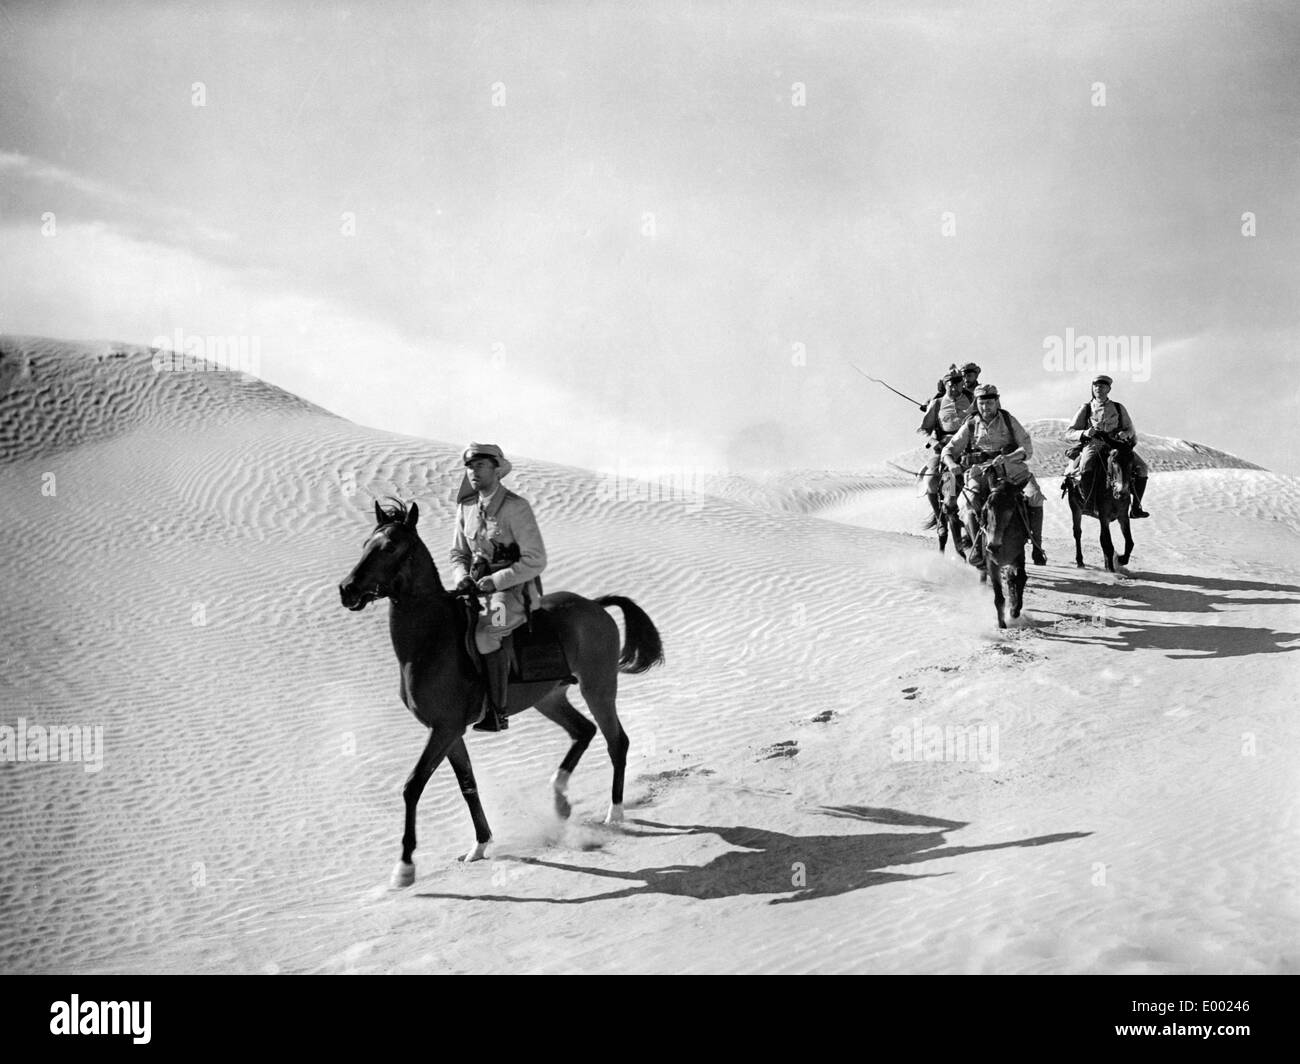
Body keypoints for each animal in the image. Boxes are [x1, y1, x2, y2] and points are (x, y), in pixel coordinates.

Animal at [338, 499, 660, 889]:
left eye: (391, 547)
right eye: (365, 544)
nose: (347, 589)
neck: (431, 641)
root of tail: (595, 605)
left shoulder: (444, 729)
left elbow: (412, 786)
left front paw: (404, 867)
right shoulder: (450, 732)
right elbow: (468, 785)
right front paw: (480, 845)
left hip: (598, 687)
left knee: (616, 741)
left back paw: (614, 813)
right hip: (549, 698)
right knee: (583, 731)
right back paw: (559, 799)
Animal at [1060, 429, 1133, 567]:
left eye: (1131, 460)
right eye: (1113, 460)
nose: (1122, 491)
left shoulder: (1123, 516)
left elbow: (1129, 542)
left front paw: (1121, 559)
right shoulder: (1104, 517)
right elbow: (1108, 545)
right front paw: (1112, 567)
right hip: (1075, 508)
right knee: (1077, 532)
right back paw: (1080, 561)